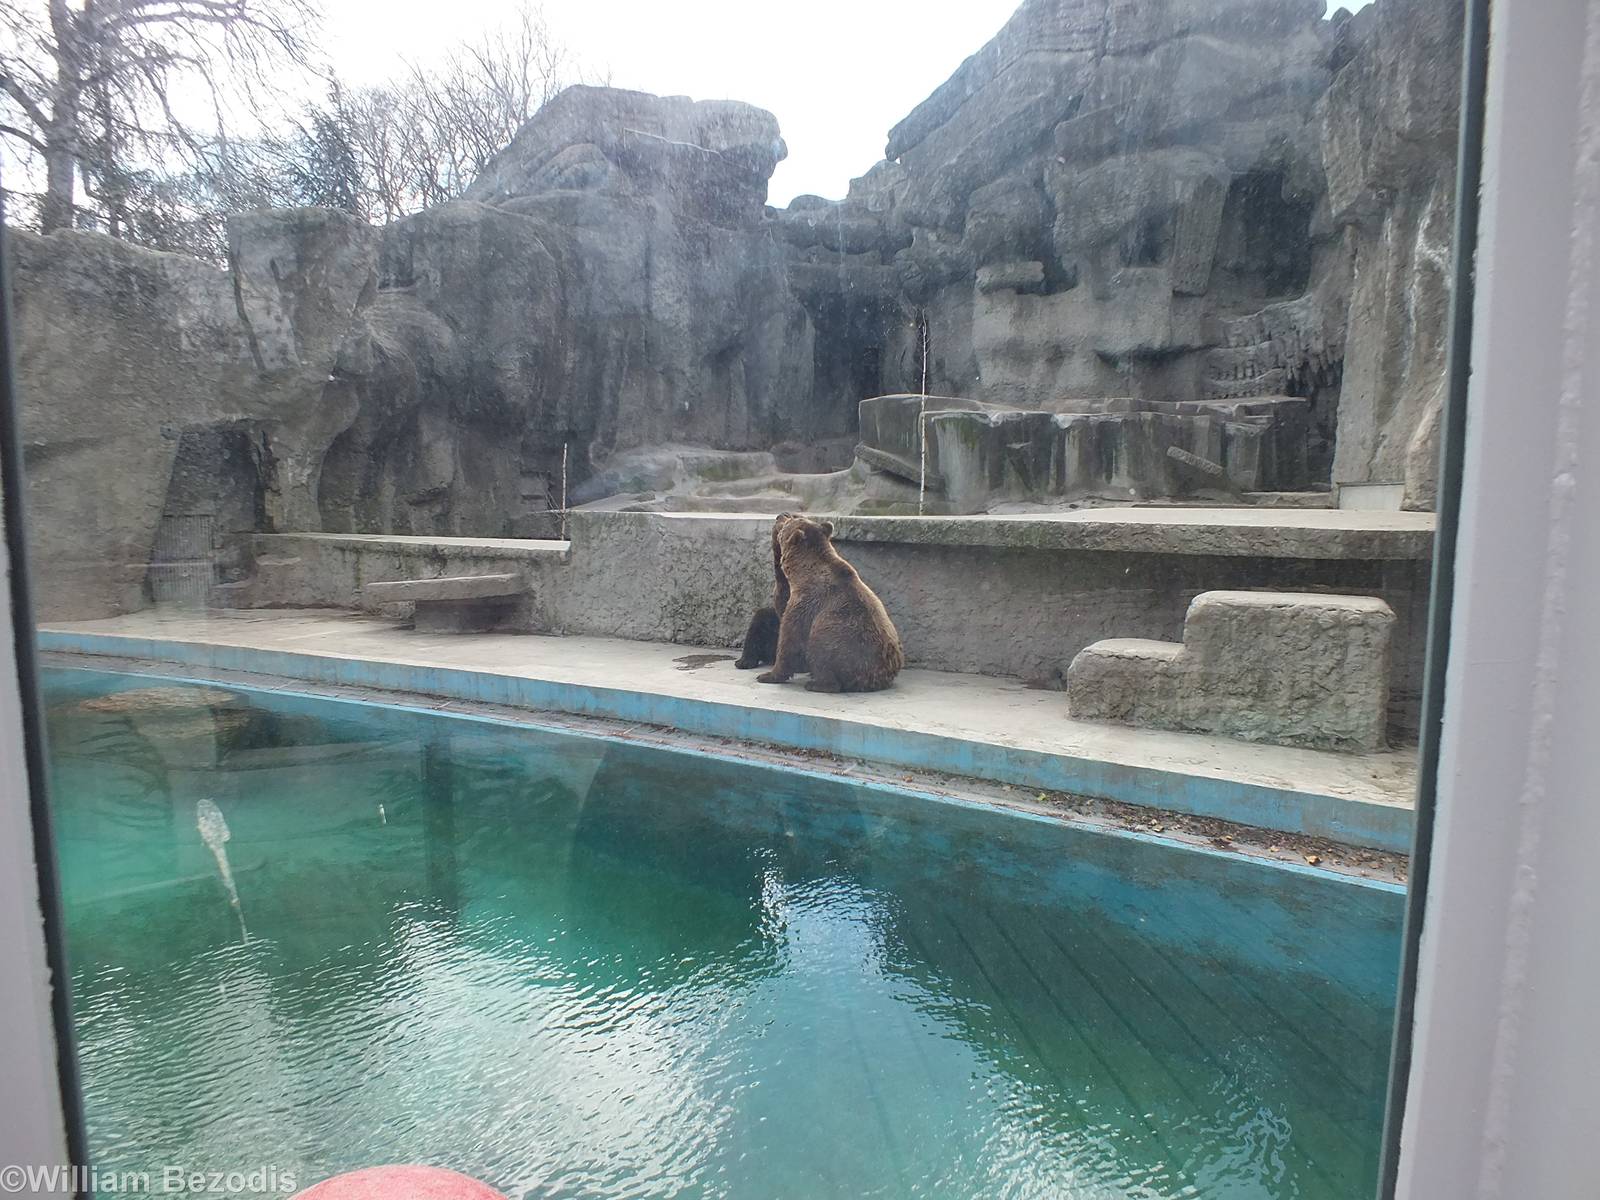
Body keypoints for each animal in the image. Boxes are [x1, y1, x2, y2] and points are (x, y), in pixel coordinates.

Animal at [756, 515, 903, 692]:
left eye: (789, 521)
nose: (780, 516)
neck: (801, 573)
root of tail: (877, 679)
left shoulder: (805, 603)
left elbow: (789, 638)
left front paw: (768, 675)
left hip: (838, 643)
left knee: (822, 653)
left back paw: (816, 683)